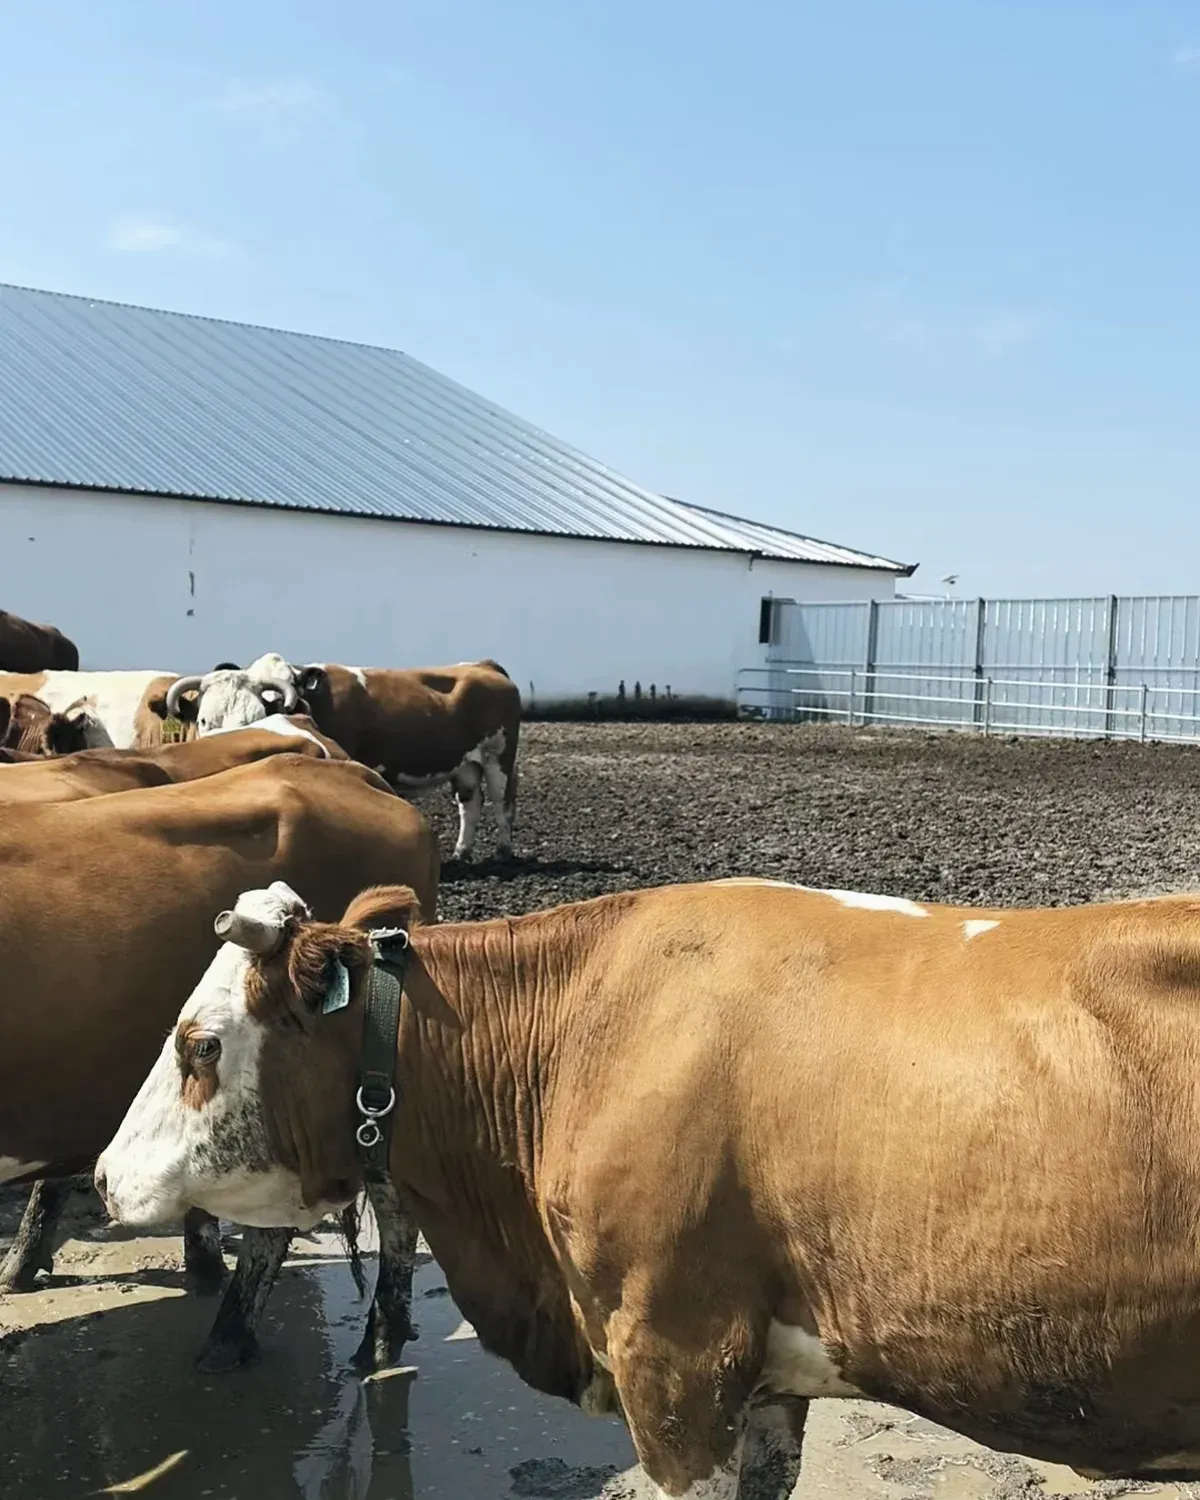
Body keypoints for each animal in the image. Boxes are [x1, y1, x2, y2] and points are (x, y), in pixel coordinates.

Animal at [159, 654, 520, 859]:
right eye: (204, 720)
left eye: (256, 714)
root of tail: (483, 667)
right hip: (466, 765)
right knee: (470, 805)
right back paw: (461, 853)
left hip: (498, 758)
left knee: (502, 802)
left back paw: (503, 852)